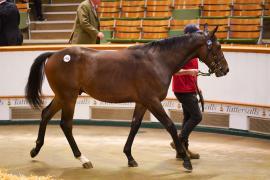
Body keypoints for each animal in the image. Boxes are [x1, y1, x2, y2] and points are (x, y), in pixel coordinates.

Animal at [24, 25, 228, 172]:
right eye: (218, 46)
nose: (225, 69)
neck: (158, 60)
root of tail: (55, 54)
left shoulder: (142, 102)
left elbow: (135, 125)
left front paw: (130, 157)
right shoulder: (152, 101)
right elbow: (170, 125)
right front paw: (185, 159)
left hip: (62, 96)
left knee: (46, 114)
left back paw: (35, 149)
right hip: (69, 97)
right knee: (66, 124)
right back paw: (83, 159)